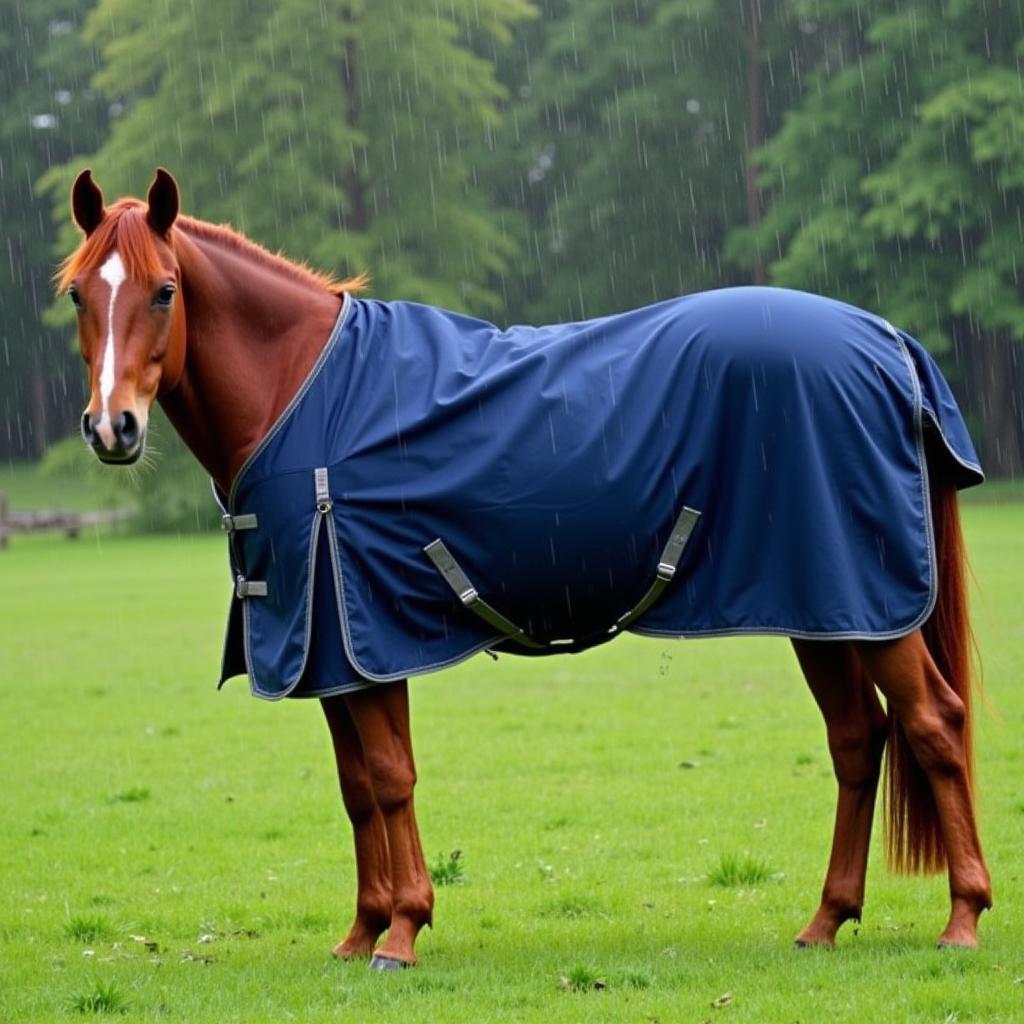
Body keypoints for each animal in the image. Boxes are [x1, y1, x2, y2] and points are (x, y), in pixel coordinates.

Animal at [59, 165, 987, 966]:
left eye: (165, 290)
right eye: (78, 294)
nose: (113, 429)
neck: (299, 390)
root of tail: (888, 341)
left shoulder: (368, 635)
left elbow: (391, 778)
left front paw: (403, 932)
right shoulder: (326, 653)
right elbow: (356, 787)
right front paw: (361, 934)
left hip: (869, 605)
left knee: (934, 724)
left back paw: (963, 918)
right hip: (824, 609)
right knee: (858, 739)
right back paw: (825, 920)